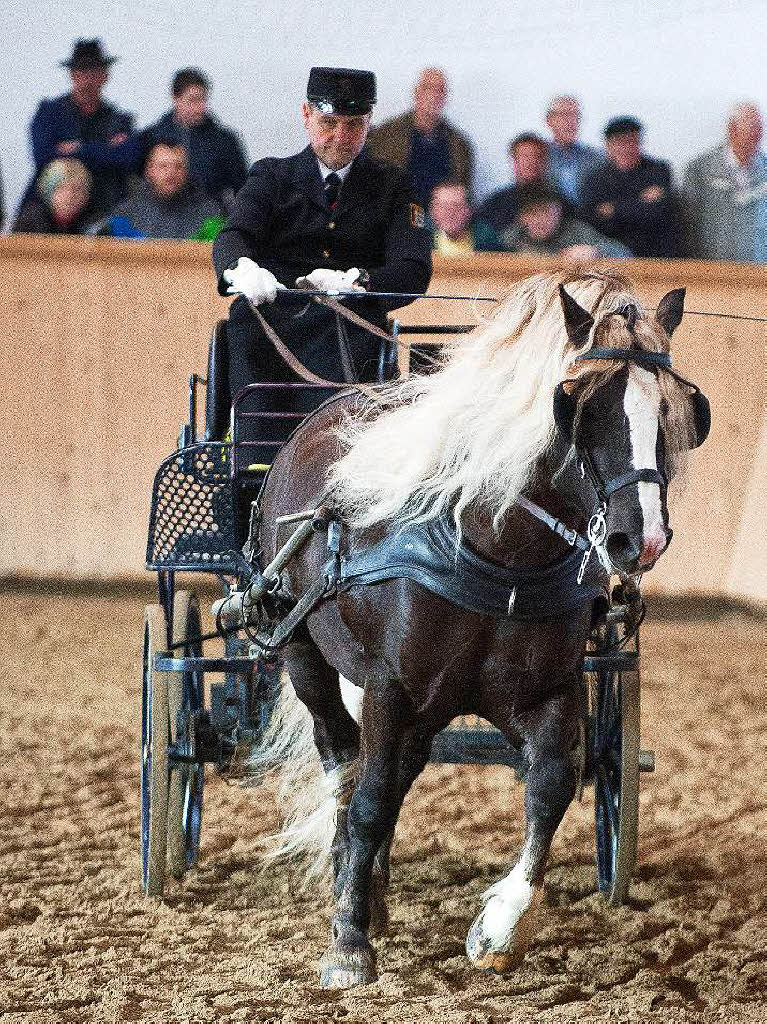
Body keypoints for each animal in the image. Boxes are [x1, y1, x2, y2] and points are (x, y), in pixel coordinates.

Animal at [248, 268, 708, 987]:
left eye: (670, 409)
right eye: (579, 407)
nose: (642, 539)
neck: (499, 553)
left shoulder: (547, 693)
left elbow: (551, 785)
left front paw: (500, 927)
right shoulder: (390, 689)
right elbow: (368, 798)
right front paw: (348, 945)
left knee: (394, 775)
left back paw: (375, 888)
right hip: (304, 656)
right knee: (344, 764)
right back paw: (356, 889)